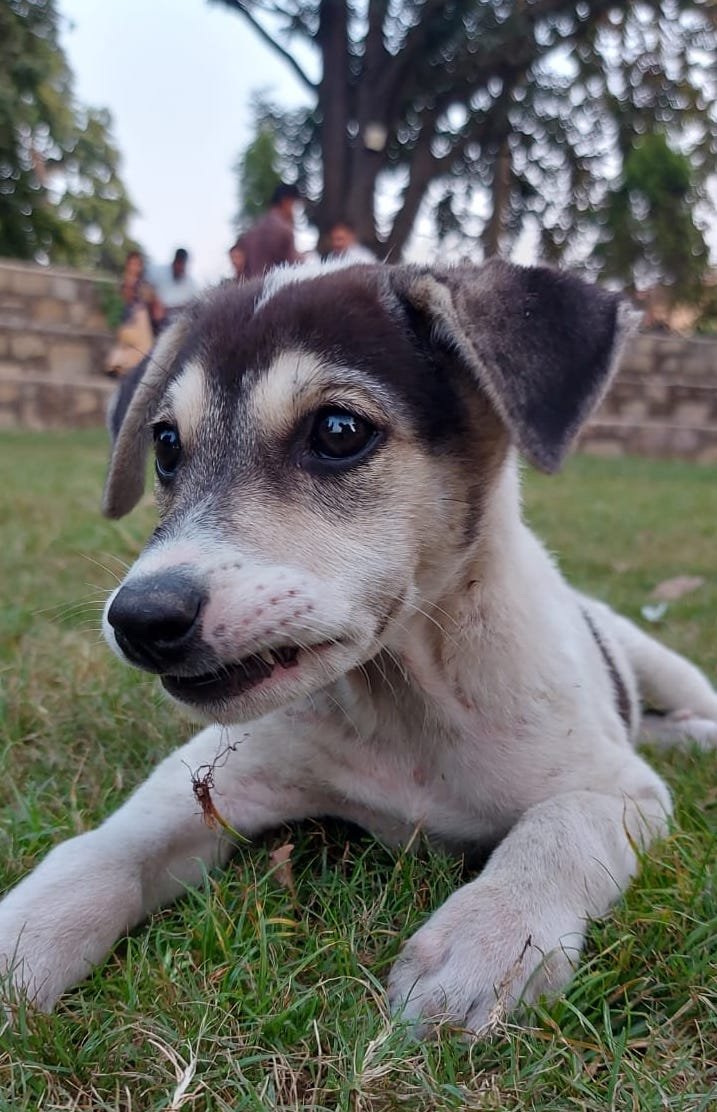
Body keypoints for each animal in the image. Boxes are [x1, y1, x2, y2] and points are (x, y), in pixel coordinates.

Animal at [1, 254, 715, 1031]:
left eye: (339, 430)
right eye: (165, 445)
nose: (140, 621)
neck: (402, 701)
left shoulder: (620, 789)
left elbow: (558, 830)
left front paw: (485, 942)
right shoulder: (211, 776)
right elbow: (104, 848)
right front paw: (22, 934)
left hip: (658, 662)